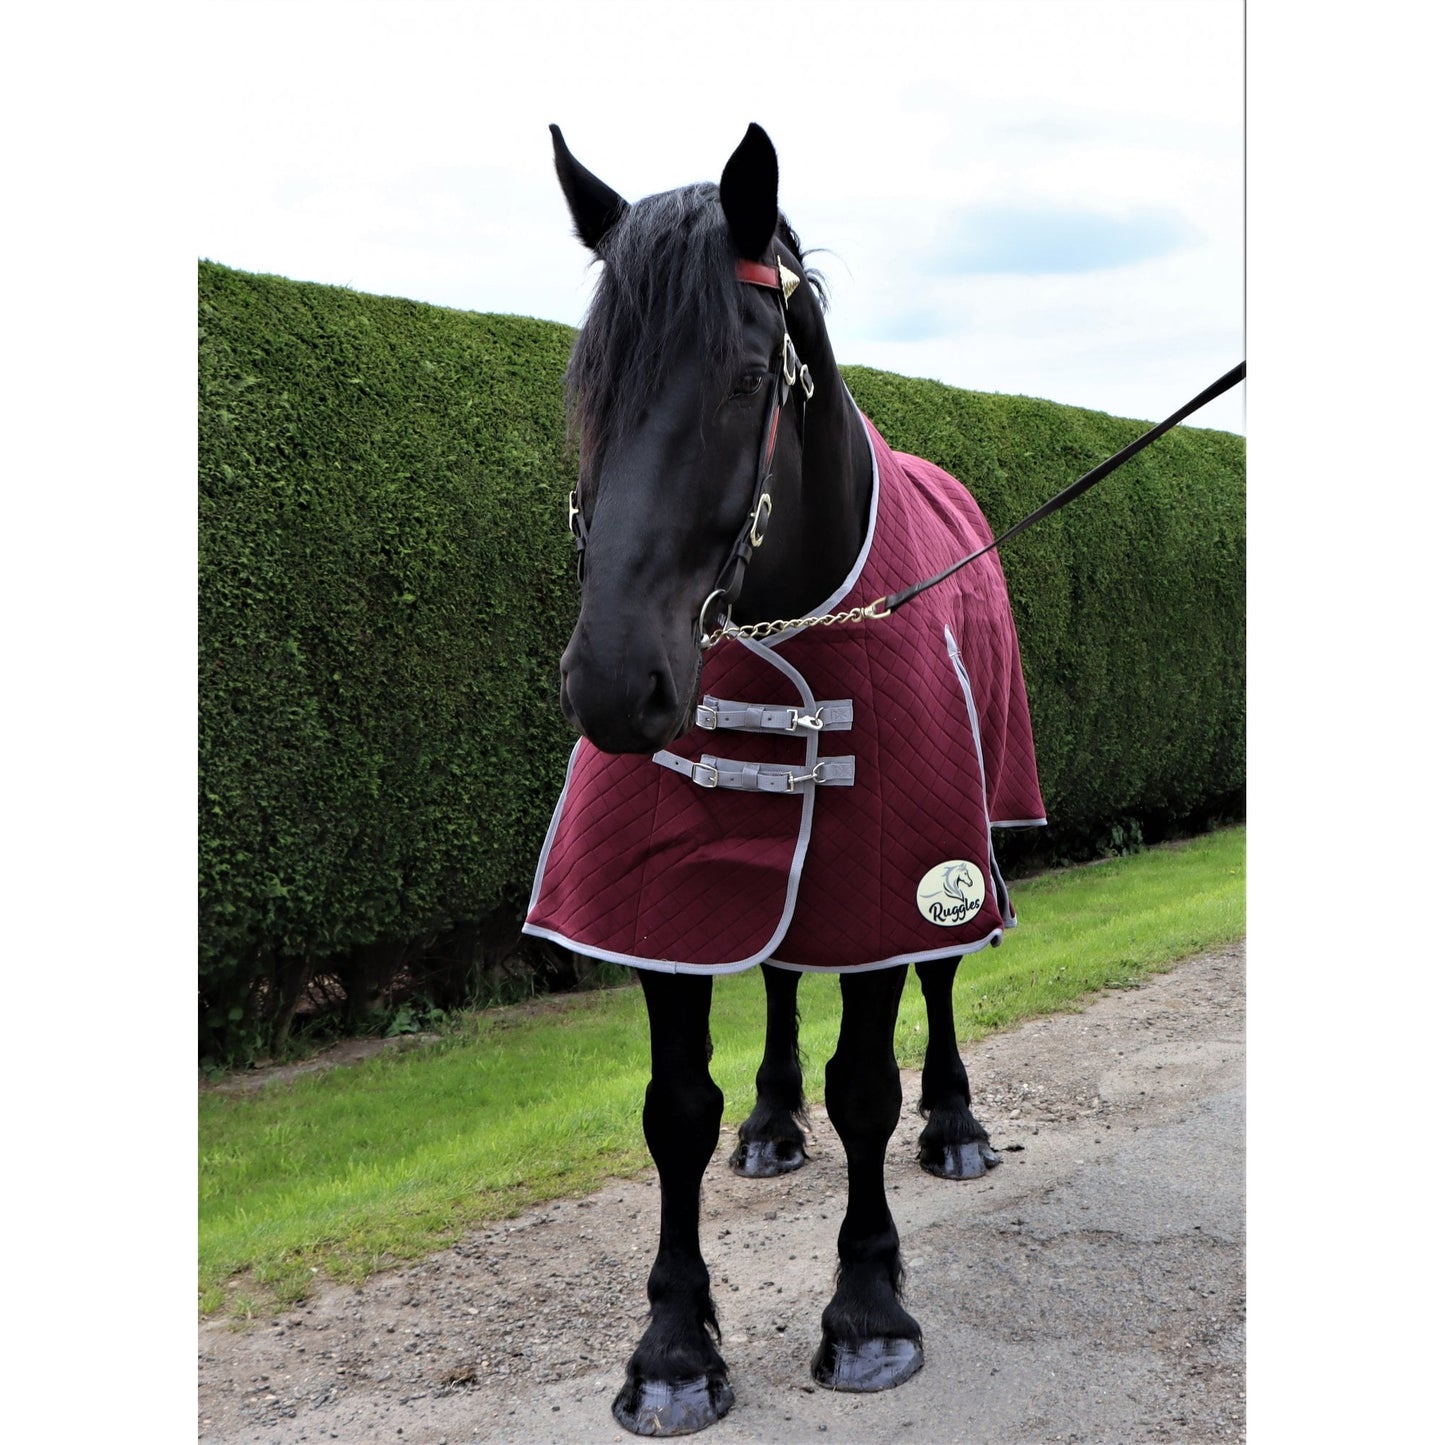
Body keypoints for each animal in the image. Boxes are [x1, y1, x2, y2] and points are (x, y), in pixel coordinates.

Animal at [524, 122, 1046, 1435]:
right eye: (586, 383)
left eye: (747, 378)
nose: (615, 682)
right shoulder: (660, 898)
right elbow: (674, 1108)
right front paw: (671, 1344)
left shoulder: (891, 866)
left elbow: (864, 1080)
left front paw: (866, 1312)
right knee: (772, 973)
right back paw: (771, 1118)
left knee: (939, 979)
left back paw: (954, 1122)